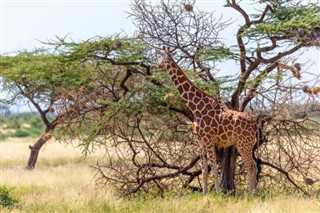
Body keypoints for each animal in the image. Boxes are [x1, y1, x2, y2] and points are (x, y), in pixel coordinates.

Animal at [156, 47, 258, 196]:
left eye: (161, 56)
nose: (159, 65)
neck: (196, 108)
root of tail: (255, 123)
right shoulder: (200, 141)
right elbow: (204, 170)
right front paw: (204, 195)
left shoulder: (209, 140)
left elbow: (214, 169)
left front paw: (217, 194)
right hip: (243, 144)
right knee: (252, 166)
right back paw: (253, 193)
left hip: (245, 143)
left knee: (251, 166)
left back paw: (252, 195)